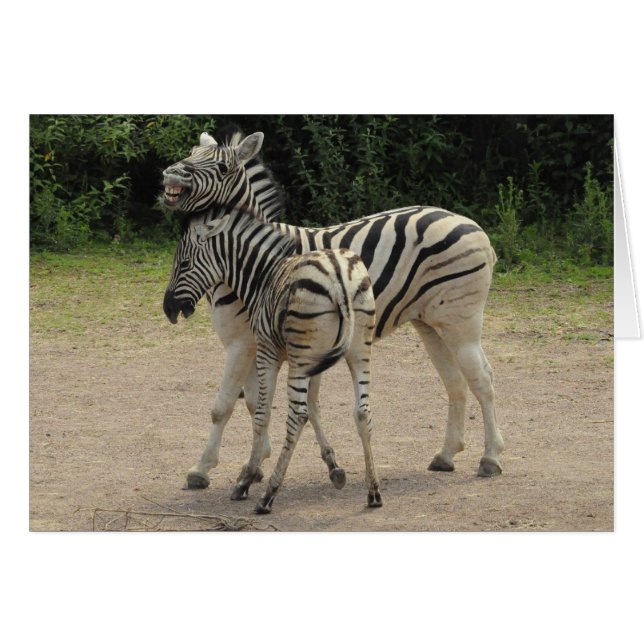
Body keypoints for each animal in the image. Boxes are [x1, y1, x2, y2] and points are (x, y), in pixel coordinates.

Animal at [163, 207, 382, 513]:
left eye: (183, 264)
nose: (168, 308)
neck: (261, 276)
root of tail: (338, 275)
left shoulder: (267, 352)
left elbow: (262, 413)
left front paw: (247, 478)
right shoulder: (317, 361)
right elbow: (314, 407)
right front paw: (334, 467)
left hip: (301, 357)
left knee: (296, 416)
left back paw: (268, 495)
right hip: (359, 350)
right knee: (362, 412)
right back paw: (373, 491)